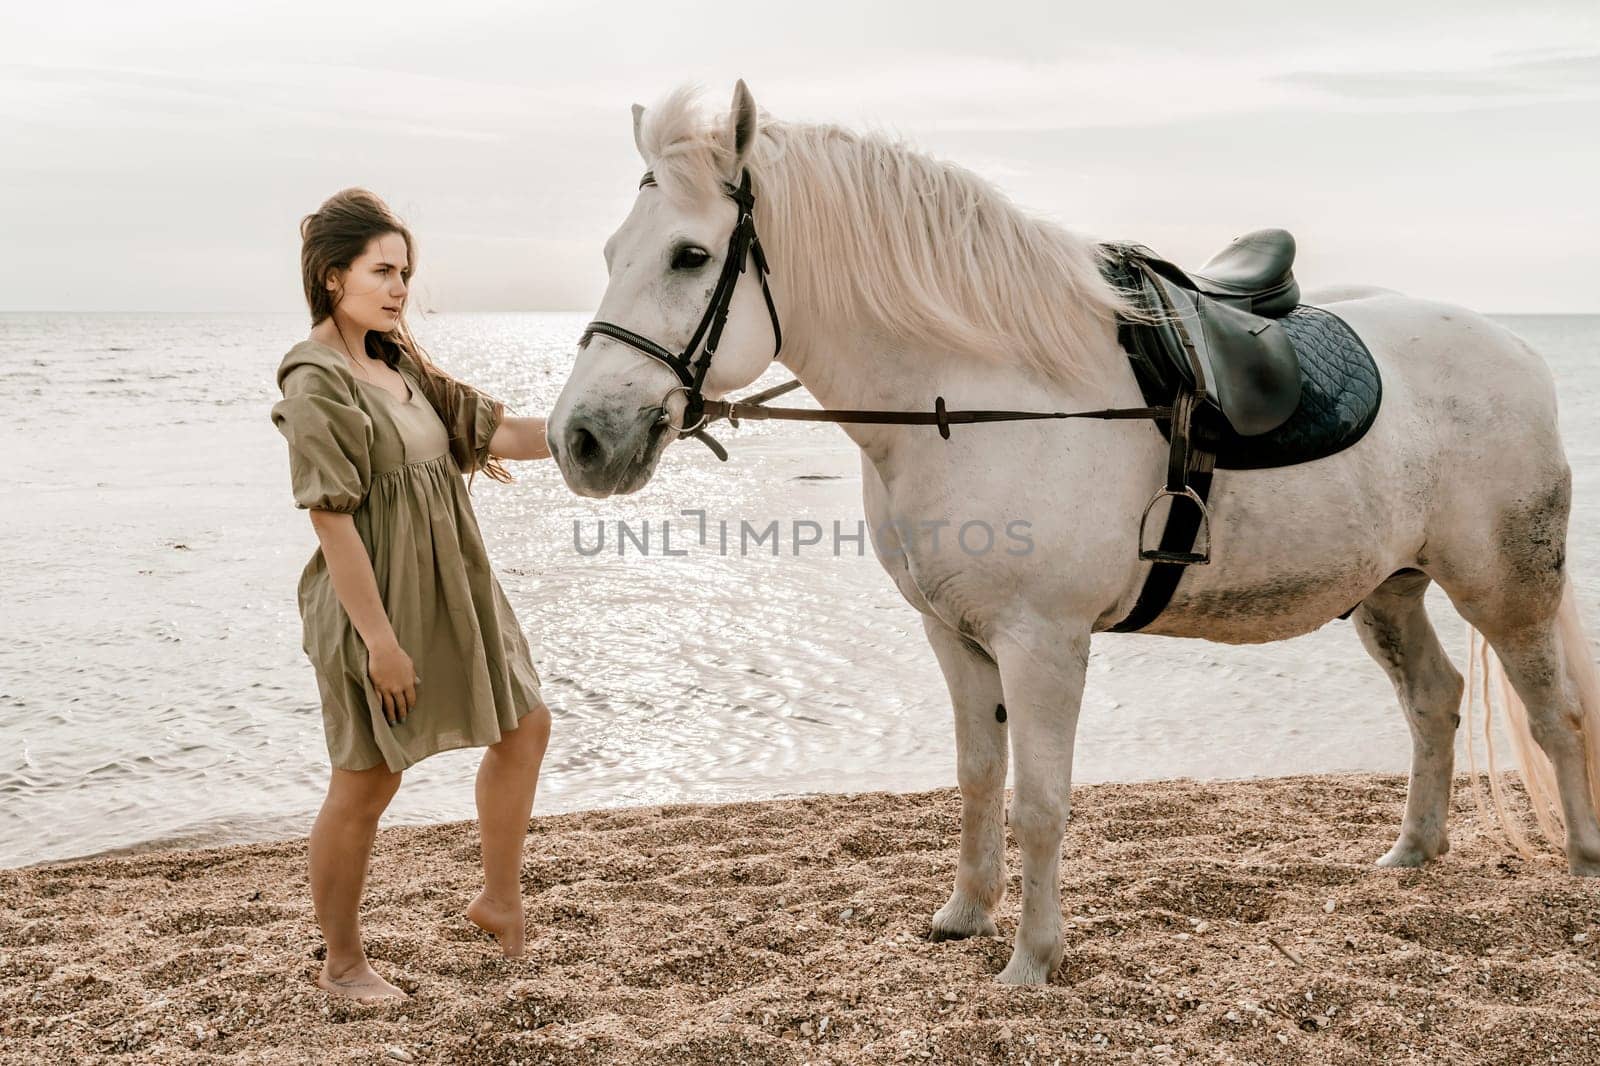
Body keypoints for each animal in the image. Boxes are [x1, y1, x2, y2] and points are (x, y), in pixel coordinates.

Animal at [547, 80, 1600, 979]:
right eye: (608, 253)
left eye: (689, 255)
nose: (581, 440)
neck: (979, 397)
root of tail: (1514, 346)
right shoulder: (955, 637)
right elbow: (978, 778)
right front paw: (965, 916)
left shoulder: (1041, 642)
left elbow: (1040, 803)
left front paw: (1030, 960)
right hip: (1386, 589)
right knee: (1433, 700)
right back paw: (1413, 852)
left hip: (1506, 589)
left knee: (1556, 715)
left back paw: (1583, 858)